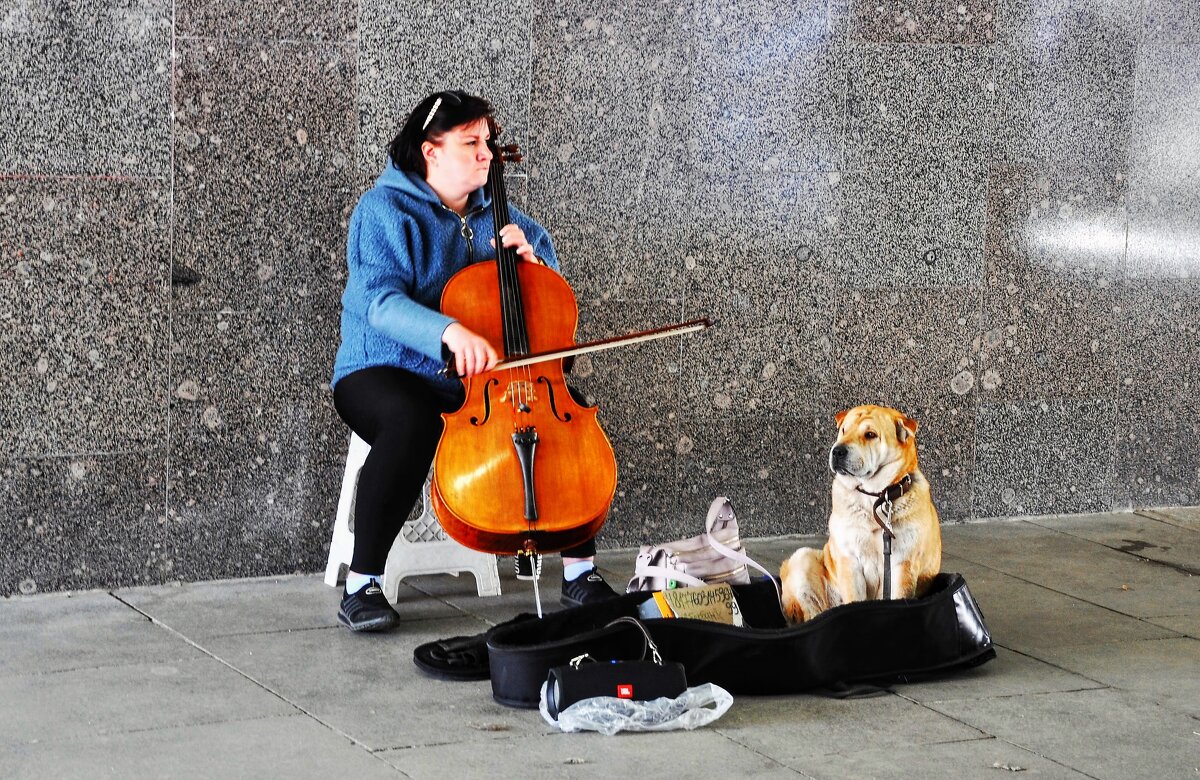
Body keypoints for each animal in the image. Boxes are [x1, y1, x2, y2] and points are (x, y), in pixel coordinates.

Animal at [782, 403, 940, 624]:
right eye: (843, 430)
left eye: (870, 434)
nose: (837, 451)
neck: (875, 497)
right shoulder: (850, 559)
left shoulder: (902, 564)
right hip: (803, 560)